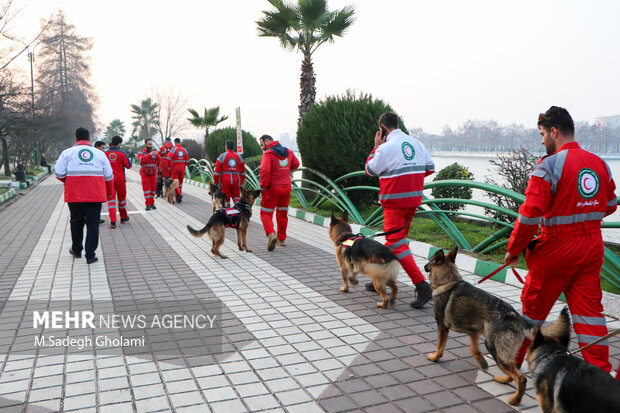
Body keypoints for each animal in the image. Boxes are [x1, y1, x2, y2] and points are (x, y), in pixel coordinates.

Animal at [426, 246, 568, 404]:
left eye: (430, 261)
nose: (425, 266)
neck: (448, 281)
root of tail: (514, 317)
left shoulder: (442, 327)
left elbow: (440, 347)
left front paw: (434, 357)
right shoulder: (474, 332)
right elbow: (474, 349)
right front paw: (482, 362)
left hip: (494, 348)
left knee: (520, 378)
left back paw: (515, 400)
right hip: (503, 351)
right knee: (513, 372)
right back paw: (503, 380)